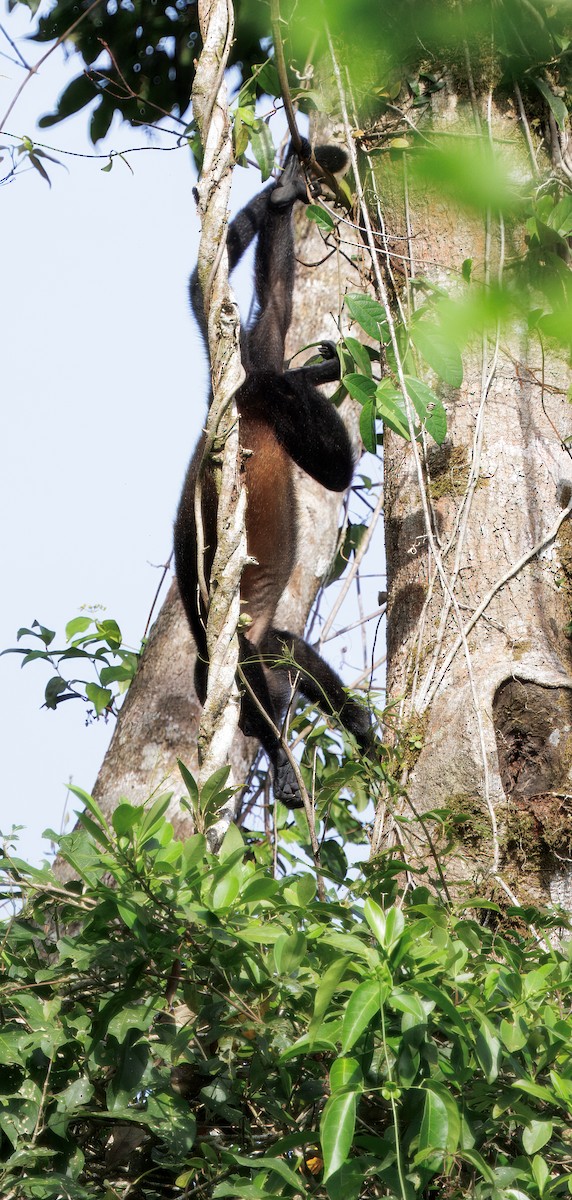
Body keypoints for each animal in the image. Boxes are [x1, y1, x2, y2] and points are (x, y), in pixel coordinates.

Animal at [174, 140, 373, 807]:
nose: (246, 729)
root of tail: (233, 400)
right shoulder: (261, 647)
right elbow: (289, 652)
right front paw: (343, 723)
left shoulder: (235, 652)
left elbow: (244, 671)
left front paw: (281, 760)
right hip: (255, 358)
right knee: (272, 304)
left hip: (257, 391)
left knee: (329, 463)